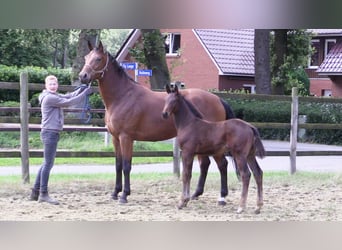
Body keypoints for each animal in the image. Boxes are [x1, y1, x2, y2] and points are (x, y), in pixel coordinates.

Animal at [79, 41, 235, 204]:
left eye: (98, 59)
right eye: (86, 57)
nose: (82, 76)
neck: (122, 96)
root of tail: (218, 99)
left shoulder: (126, 138)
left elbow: (127, 166)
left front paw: (124, 195)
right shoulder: (116, 138)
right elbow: (118, 165)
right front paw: (115, 192)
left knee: (221, 164)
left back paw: (222, 196)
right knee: (206, 164)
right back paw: (195, 194)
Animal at [162, 84, 266, 213]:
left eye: (174, 101)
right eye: (165, 100)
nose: (164, 114)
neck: (189, 124)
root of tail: (250, 126)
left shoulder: (187, 152)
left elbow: (186, 175)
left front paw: (182, 202)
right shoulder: (191, 153)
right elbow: (188, 174)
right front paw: (185, 201)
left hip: (240, 155)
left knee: (245, 175)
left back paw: (241, 207)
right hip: (250, 155)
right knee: (258, 173)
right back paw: (258, 207)